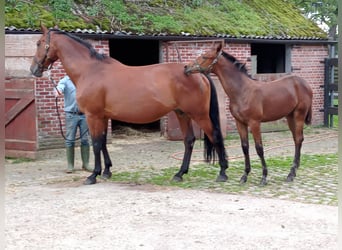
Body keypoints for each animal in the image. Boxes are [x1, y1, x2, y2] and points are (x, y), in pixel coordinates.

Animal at [29, 24, 227, 185]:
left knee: (215, 136)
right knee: (189, 141)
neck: (90, 70)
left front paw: (93, 175)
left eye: (38, 43)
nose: (34, 69)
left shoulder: (93, 115)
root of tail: (198, 73)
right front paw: (107, 171)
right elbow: (103, 142)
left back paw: (223, 172)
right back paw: (179, 174)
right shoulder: (103, 116)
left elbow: (96, 143)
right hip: (182, 113)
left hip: (199, 115)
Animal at [184, 43, 312, 185]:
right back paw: (293, 172)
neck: (242, 91)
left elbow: (259, 148)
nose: (186, 68)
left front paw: (264, 177)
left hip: (299, 115)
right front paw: (244, 176)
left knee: (299, 139)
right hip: (290, 117)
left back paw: (291, 173)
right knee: (296, 139)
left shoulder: (254, 123)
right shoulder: (240, 123)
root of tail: (304, 83)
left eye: (205, 56)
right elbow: (245, 147)